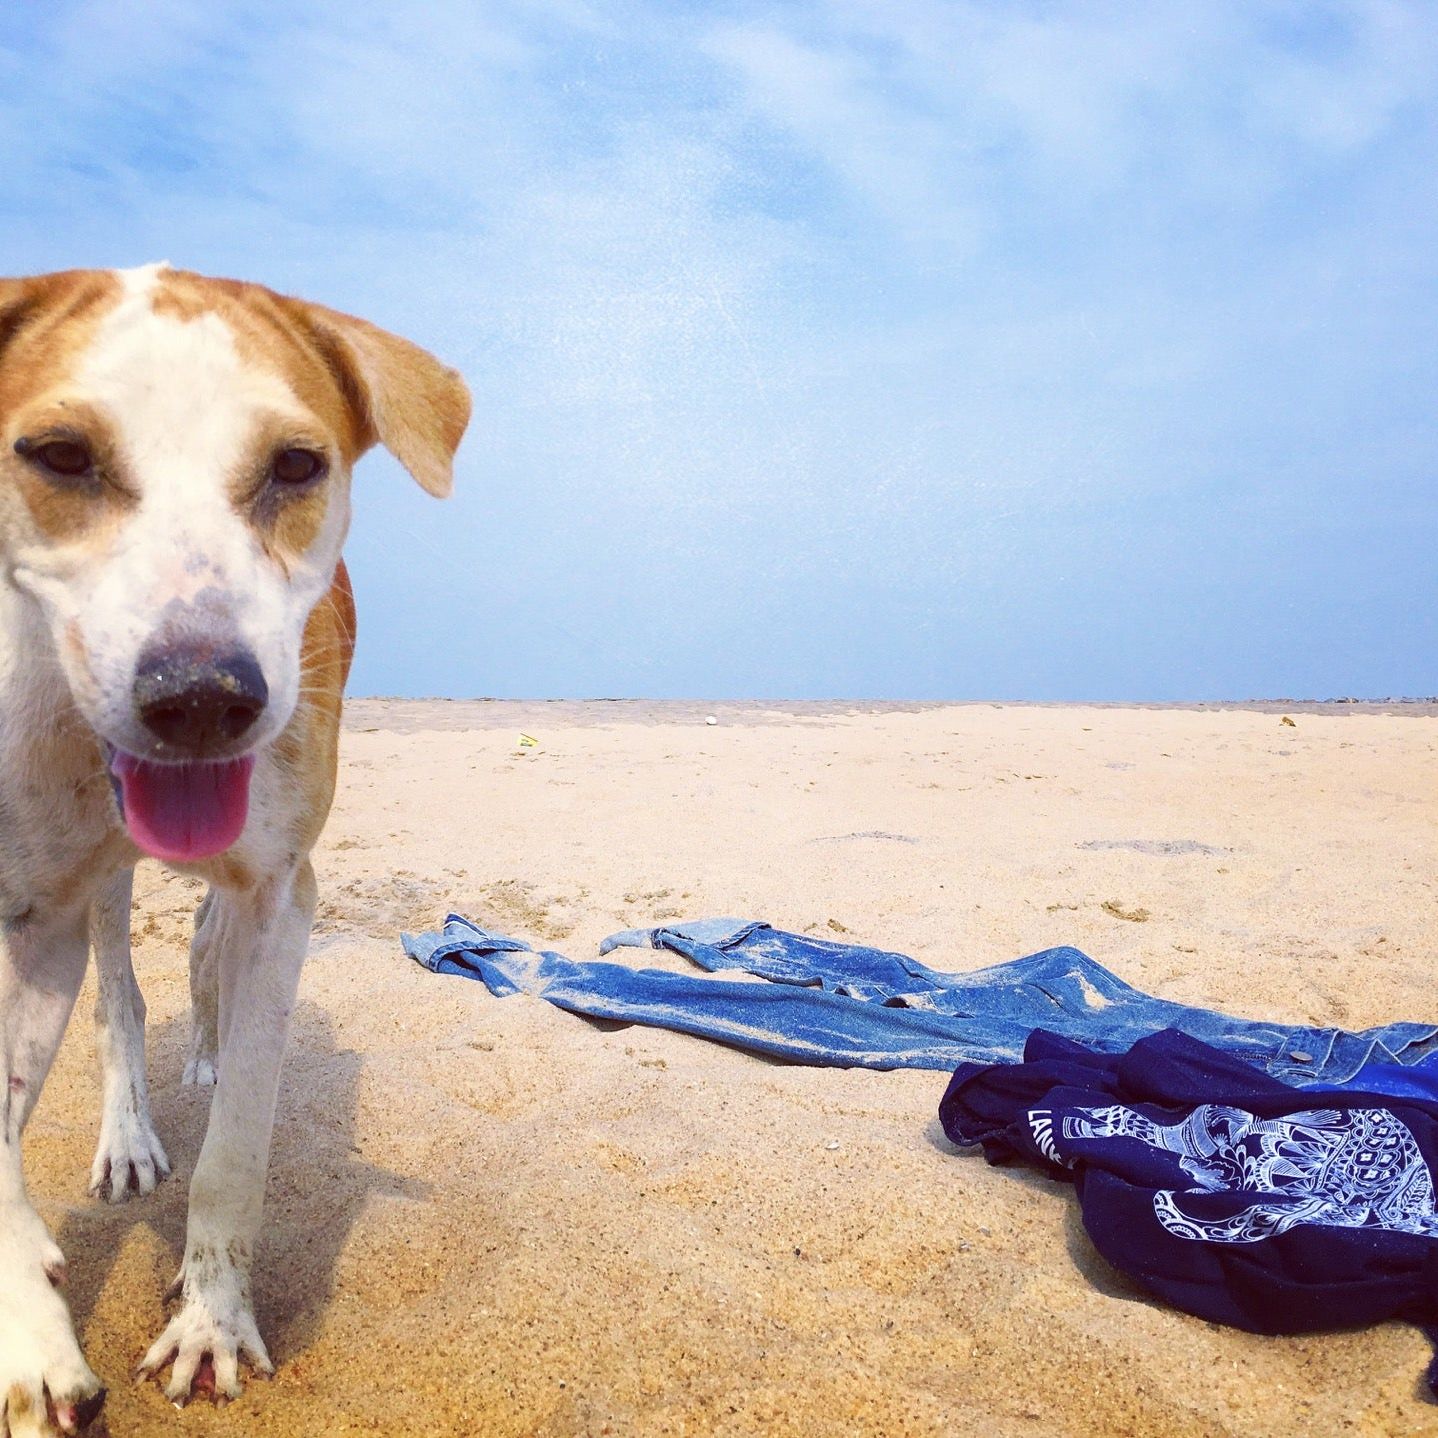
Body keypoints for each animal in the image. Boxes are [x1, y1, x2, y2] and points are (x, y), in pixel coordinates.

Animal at [0, 264, 468, 1432]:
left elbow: (238, 1145)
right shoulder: (33, 908)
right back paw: (122, 1140)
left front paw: (211, 1323)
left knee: (199, 956)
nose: (202, 696)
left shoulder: (277, 897)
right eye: (59, 455)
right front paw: (32, 1347)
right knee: (119, 997)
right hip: (94, 893)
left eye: (295, 465)